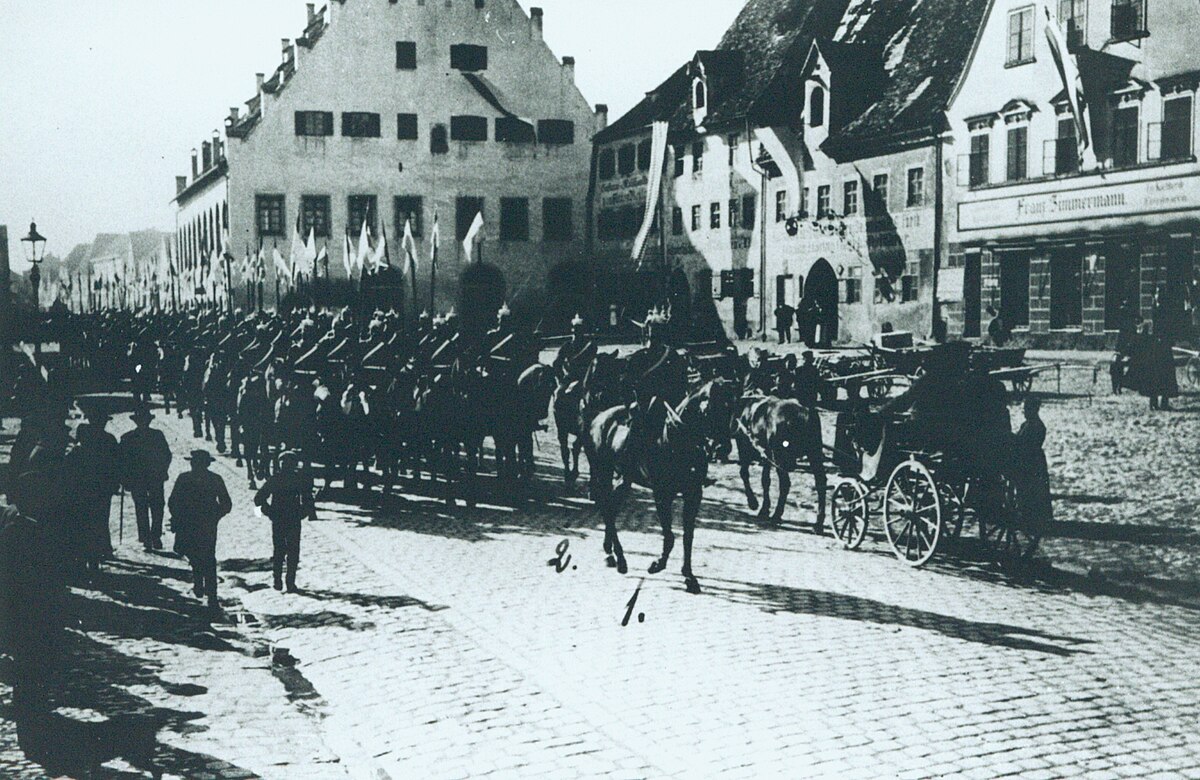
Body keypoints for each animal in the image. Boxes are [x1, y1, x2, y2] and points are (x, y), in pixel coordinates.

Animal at [586, 379, 738, 595]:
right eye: (713, 408)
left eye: (731, 407)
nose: (723, 447)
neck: (679, 441)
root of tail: (598, 418)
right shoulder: (662, 495)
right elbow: (670, 535)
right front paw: (658, 564)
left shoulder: (693, 495)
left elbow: (687, 537)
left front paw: (689, 576)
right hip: (603, 472)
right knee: (607, 508)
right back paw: (620, 559)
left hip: (624, 480)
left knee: (612, 509)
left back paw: (611, 552)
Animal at [733, 395, 827, 532]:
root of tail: (803, 412)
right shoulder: (766, 454)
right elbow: (765, 480)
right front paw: (764, 509)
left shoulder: (744, 445)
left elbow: (744, 473)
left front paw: (753, 503)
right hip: (814, 453)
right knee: (821, 482)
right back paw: (818, 523)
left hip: (780, 456)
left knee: (785, 483)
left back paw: (777, 515)